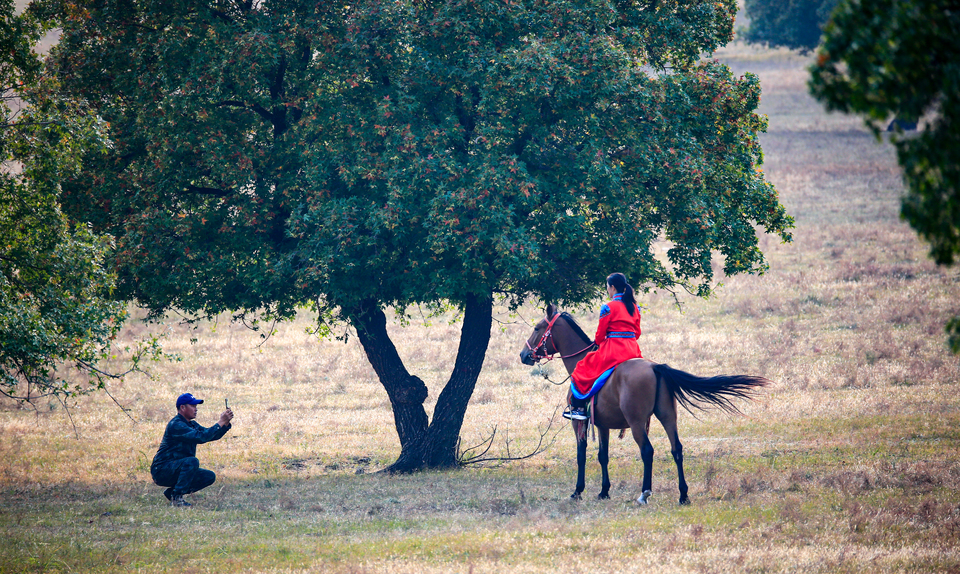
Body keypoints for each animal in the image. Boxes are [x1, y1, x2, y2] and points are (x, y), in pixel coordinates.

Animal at [520, 304, 768, 506]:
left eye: (537, 328)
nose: (524, 355)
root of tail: (656, 367)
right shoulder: (602, 425)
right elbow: (603, 455)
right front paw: (604, 491)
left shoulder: (578, 422)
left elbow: (582, 454)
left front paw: (578, 491)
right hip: (668, 416)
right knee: (677, 449)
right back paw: (683, 495)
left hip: (637, 422)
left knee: (647, 451)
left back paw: (645, 493)